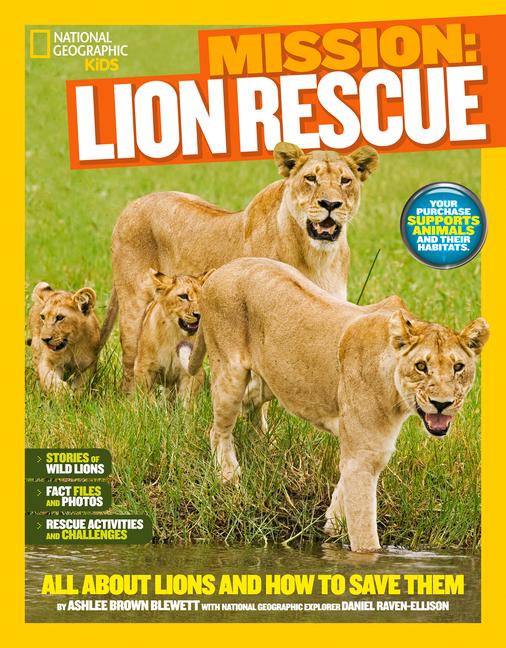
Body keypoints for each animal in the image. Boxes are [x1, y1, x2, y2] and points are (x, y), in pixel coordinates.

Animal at [101, 142, 379, 393]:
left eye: (345, 181)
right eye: (310, 178)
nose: (330, 204)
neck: (317, 256)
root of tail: (132, 205)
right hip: (134, 308)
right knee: (132, 364)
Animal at [133, 269, 211, 409]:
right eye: (183, 296)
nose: (199, 315)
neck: (174, 335)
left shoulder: (192, 371)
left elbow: (188, 401)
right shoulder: (143, 367)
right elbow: (146, 399)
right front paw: (151, 411)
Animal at [179, 257, 489, 552]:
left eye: (458, 367)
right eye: (421, 366)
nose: (442, 403)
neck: (397, 397)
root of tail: (223, 269)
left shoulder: (370, 448)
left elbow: (345, 492)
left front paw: (332, 522)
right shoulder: (364, 454)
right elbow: (364, 529)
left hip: (271, 379)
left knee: (251, 401)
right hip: (230, 371)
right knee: (217, 429)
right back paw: (228, 475)